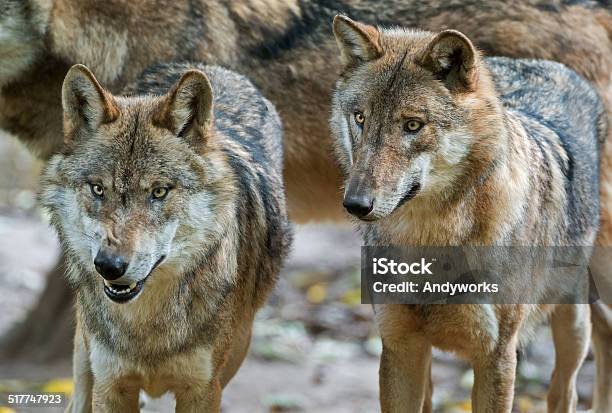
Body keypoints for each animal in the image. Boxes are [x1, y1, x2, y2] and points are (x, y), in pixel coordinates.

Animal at [38, 62, 292, 412]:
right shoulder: (109, 384)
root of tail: (212, 68)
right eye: (98, 189)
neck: (146, 327)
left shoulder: (203, 390)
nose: (109, 265)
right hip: (83, 371)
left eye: (159, 192)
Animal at [330, 14, 608, 410]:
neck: (429, 243)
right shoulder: (399, 346)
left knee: (564, 389)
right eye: (360, 118)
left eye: (412, 125)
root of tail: (549, 65)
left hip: (573, 320)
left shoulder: (496, 356)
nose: (355, 204)